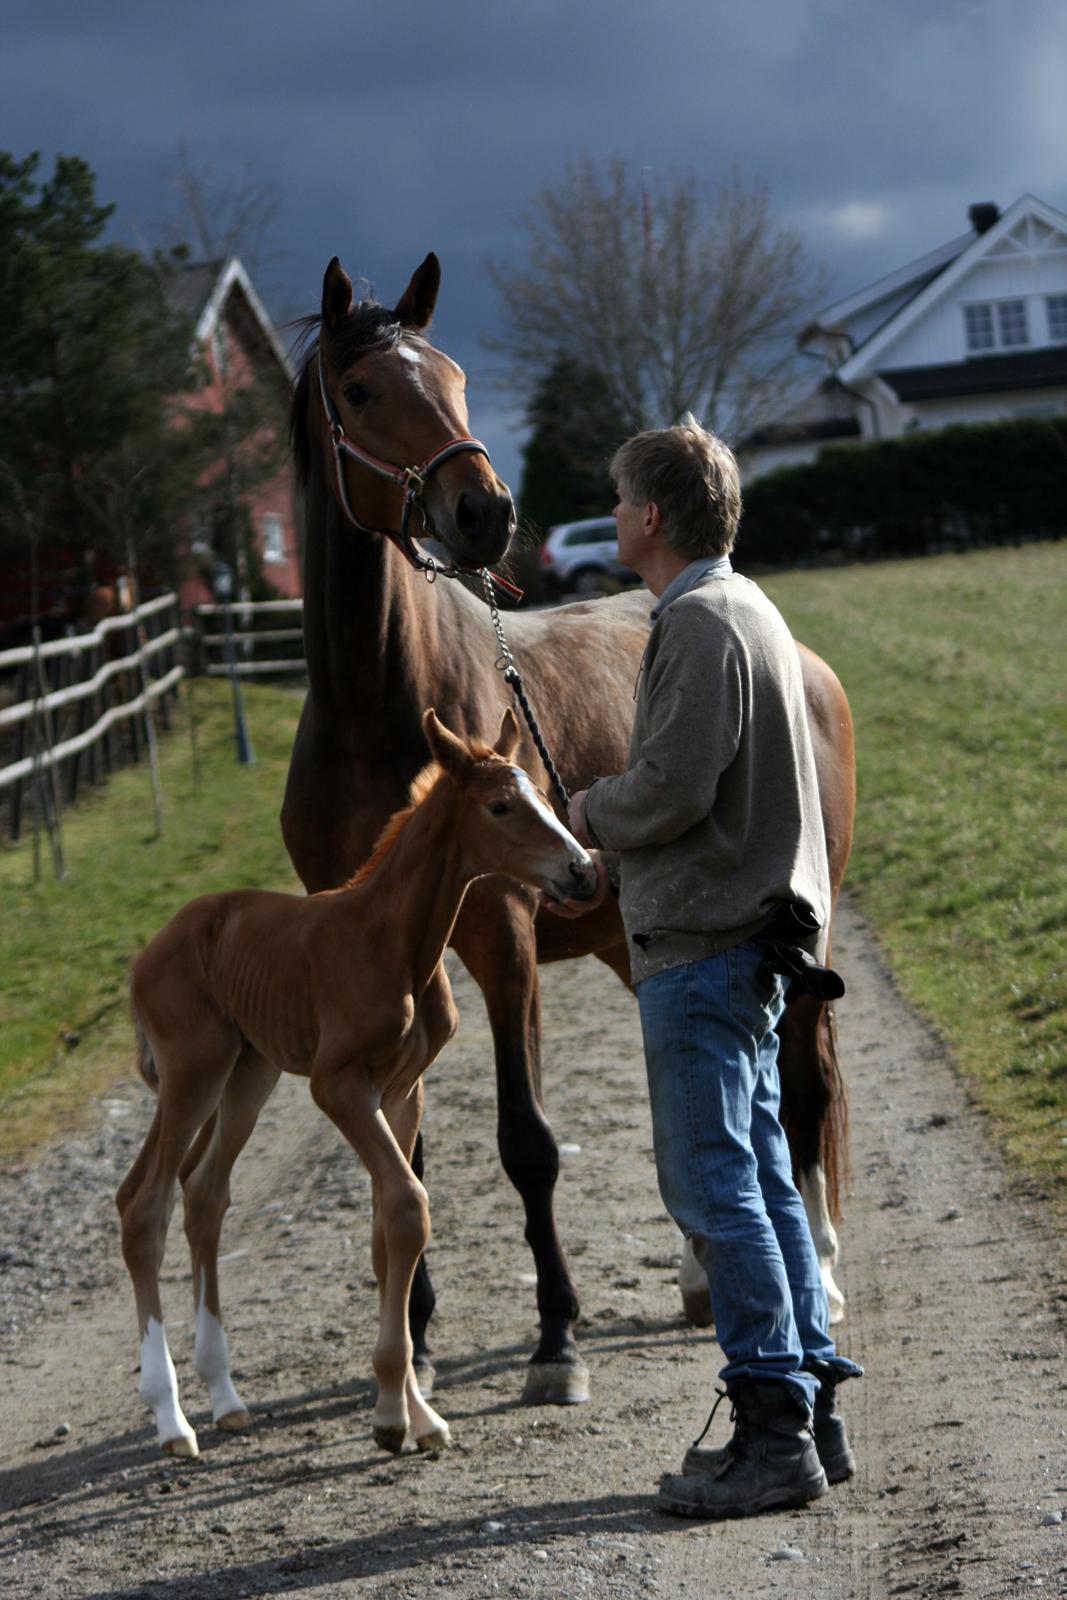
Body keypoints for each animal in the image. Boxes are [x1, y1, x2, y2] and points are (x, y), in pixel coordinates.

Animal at [122, 707, 601, 1459]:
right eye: (500, 806)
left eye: (546, 800)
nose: (582, 872)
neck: (391, 940)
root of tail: (147, 956)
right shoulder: (338, 1086)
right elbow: (405, 1206)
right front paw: (391, 1416)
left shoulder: (403, 1089)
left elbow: (387, 1228)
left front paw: (416, 1413)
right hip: (190, 1070)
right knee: (143, 1203)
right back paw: (172, 1420)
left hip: (247, 1072)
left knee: (202, 1193)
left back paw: (226, 1397)